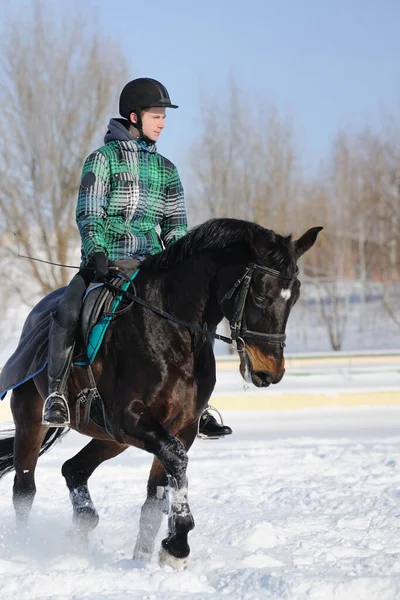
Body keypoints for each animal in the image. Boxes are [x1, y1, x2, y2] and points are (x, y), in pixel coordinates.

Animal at [0, 219, 322, 568]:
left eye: (294, 297)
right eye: (261, 296)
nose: (269, 372)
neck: (171, 330)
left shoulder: (180, 427)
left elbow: (156, 495)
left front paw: (151, 556)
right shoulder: (129, 418)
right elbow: (176, 462)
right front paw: (178, 541)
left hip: (111, 438)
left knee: (73, 469)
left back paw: (81, 528)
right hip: (33, 419)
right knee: (24, 489)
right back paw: (26, 546)